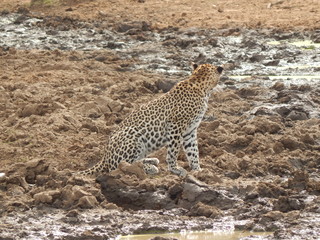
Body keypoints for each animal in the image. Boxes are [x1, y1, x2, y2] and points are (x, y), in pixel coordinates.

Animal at [78, 63, 222, 176]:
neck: (202, 88)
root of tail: (104, 157)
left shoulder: (190, 131)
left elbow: (193, 151)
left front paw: (198, 170)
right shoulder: (176, 125)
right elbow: (174, 150)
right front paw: (174, 168)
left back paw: (151, 161)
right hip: (132, 135)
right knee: (122, 164)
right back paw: (150, 167)